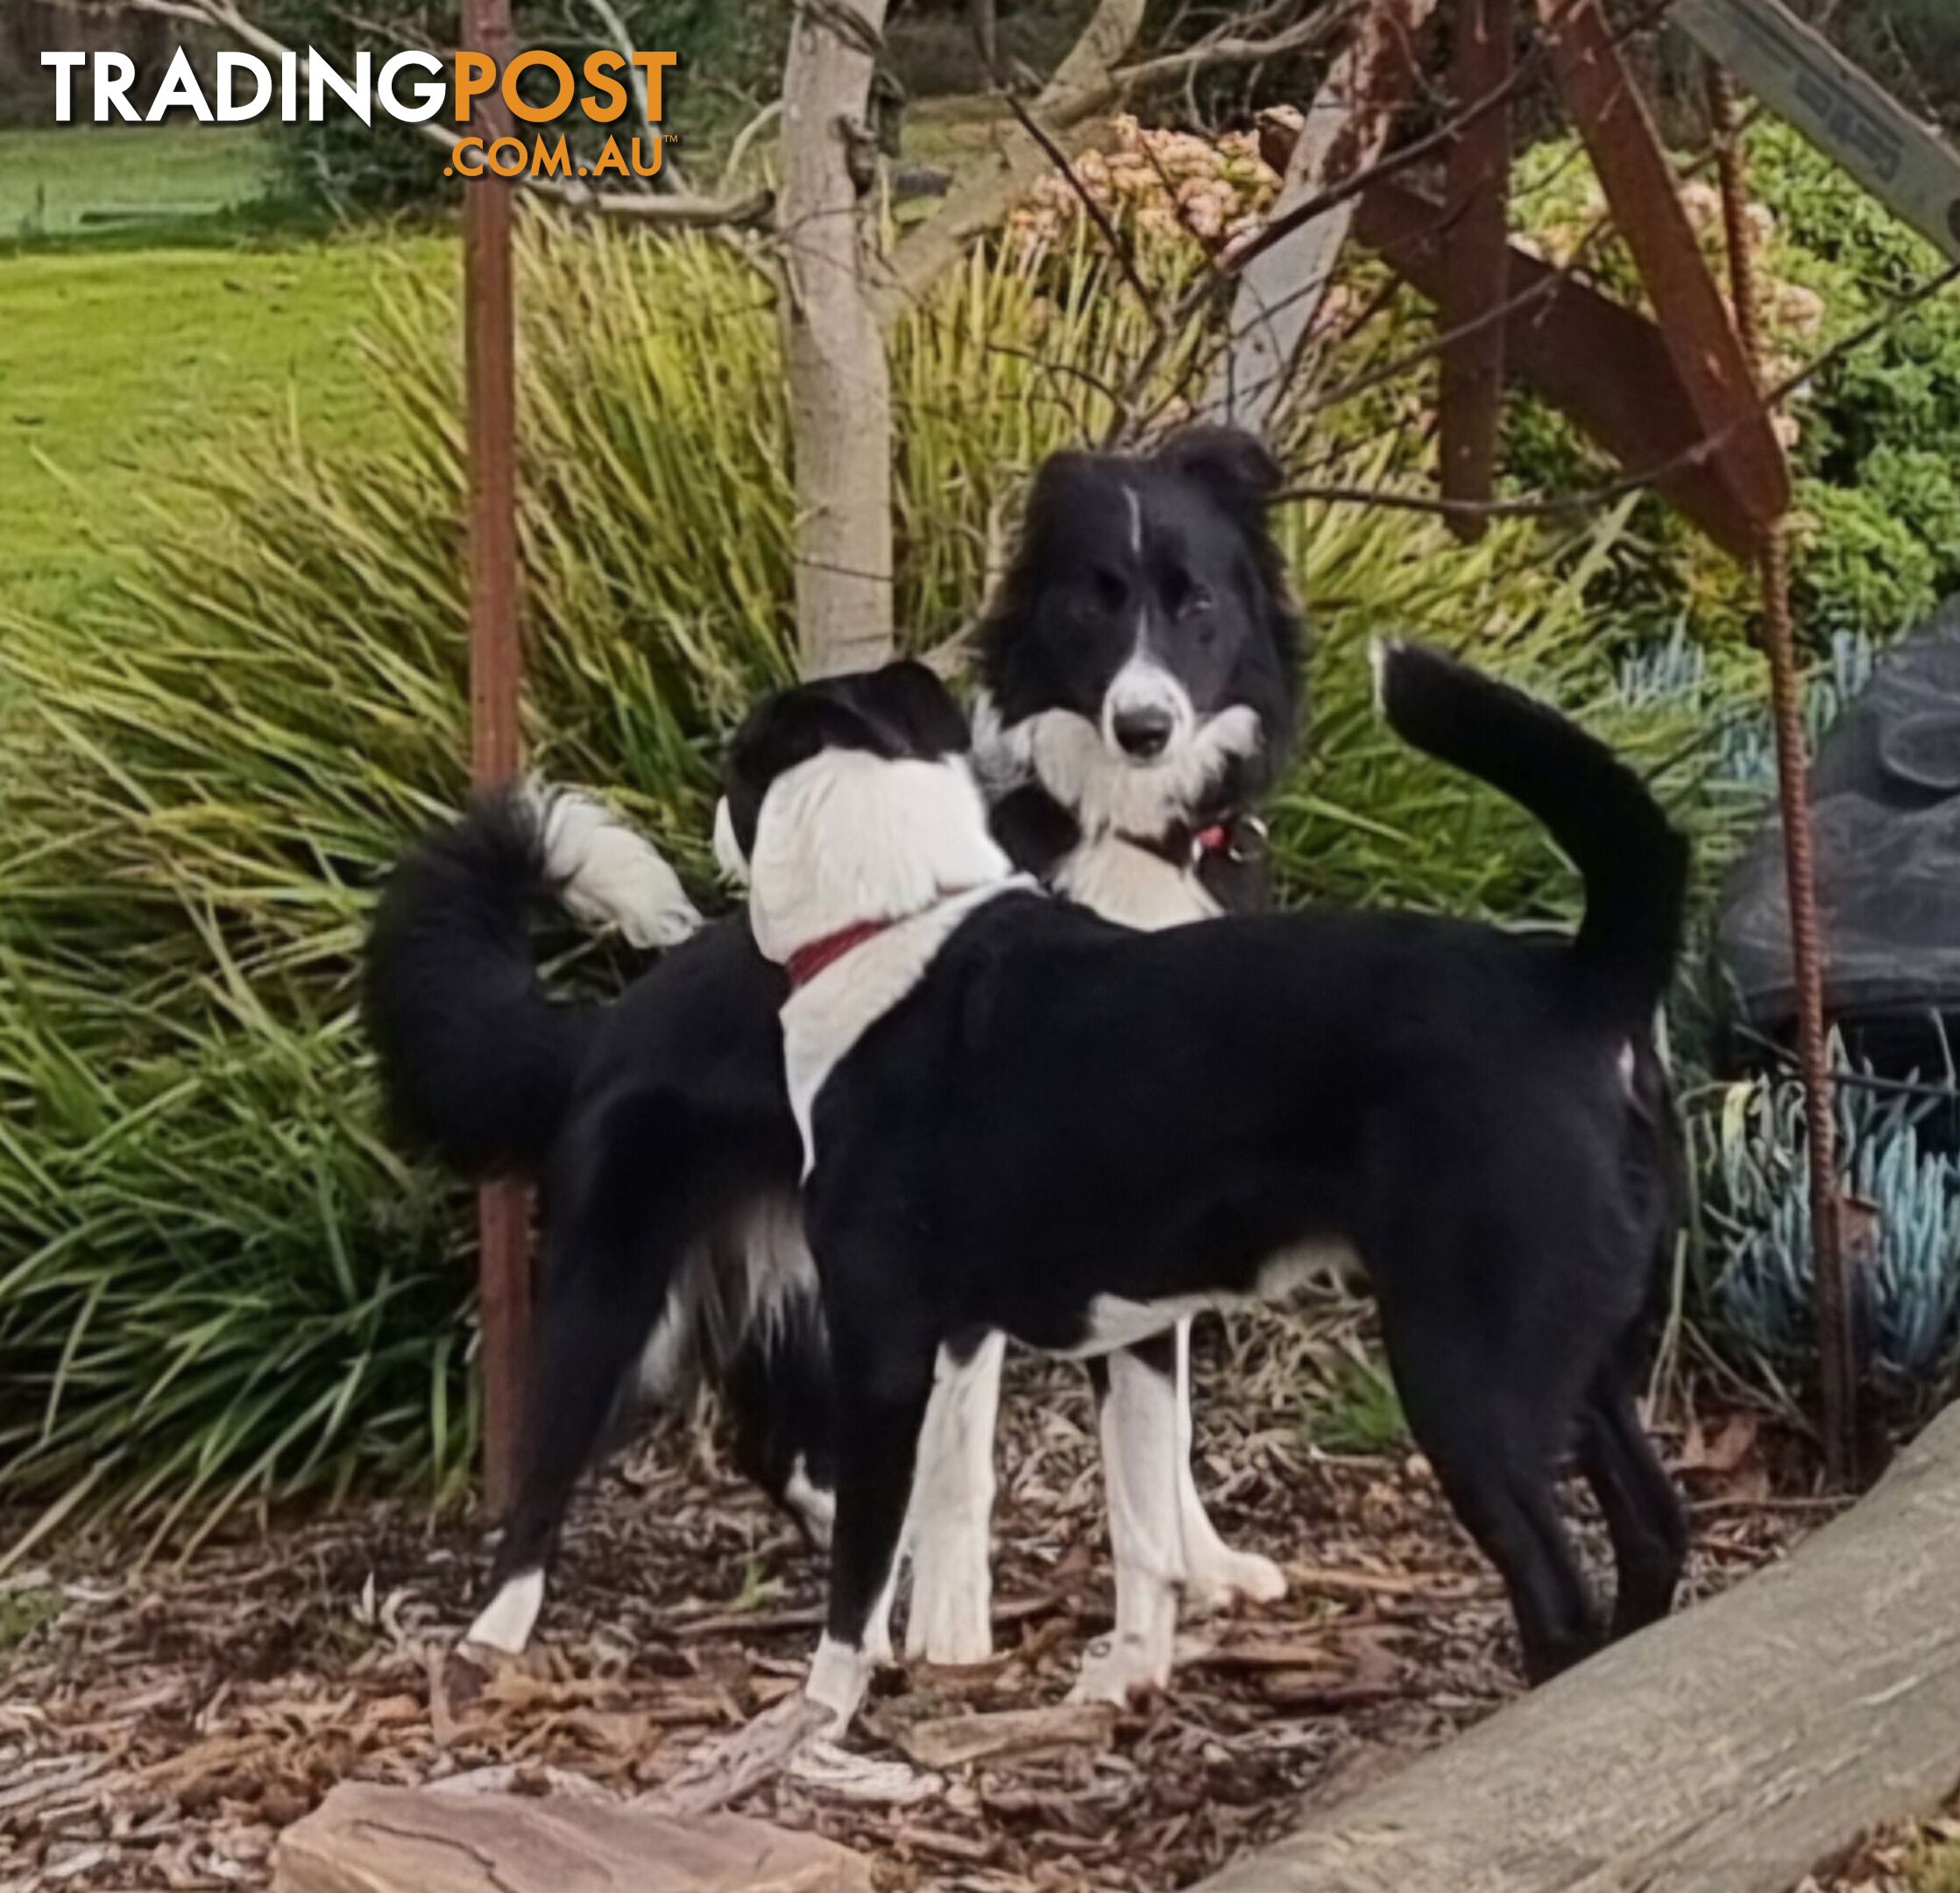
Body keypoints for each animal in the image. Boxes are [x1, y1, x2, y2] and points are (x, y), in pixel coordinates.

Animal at [721, 642, 1685, 1724]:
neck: (895, 922)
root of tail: (1581, 988)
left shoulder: (882, 1352)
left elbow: (858, 1577)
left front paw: (816, 1717)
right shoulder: (1136, 1336)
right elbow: (1144, 1518)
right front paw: (1132, 1669)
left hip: (1463, 1377)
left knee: (1557, 1596)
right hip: (1582, 1361)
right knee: (1654, 1532)